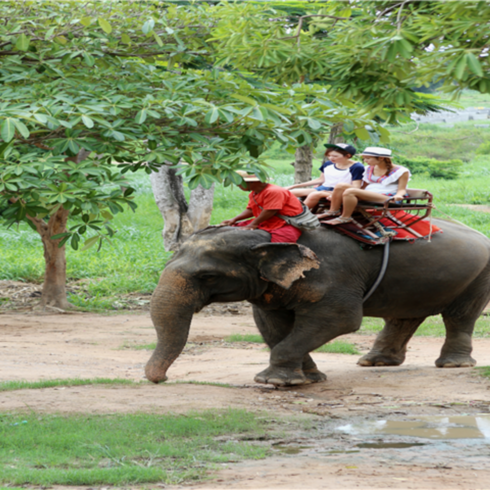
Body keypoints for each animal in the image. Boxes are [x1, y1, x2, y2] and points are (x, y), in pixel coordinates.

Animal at [145, 222, 490, 386]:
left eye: (207, 276)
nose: (160, 379)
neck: (266, 234)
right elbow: (272, 325)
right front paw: (309, 378)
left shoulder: (334, 274)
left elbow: (341, 319)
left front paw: (274, 381)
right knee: (404, 316)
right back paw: (375, 362)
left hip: (480, 273)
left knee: (460, 316)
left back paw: (453, 365)